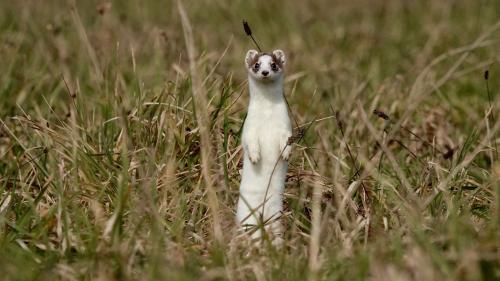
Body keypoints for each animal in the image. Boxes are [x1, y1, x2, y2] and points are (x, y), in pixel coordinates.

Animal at [237, 48, 292, 241]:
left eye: (274, 64)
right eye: (257, 64)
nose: (265, 72)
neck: (267, 116)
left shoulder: (285, 126)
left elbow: (287, 139)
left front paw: (285, 153)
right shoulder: (250, 128)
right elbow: (249, 141)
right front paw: (255, 157)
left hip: (276, 215)